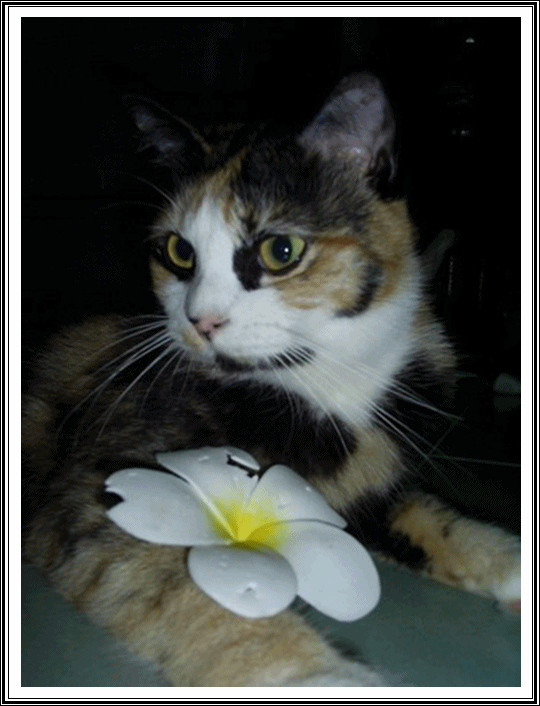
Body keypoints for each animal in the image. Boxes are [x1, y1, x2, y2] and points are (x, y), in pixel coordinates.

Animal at [22, 73, 520, 687]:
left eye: (281, 250)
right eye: (177, 251)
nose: (201, 321)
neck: (319, 385)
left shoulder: (369, 483)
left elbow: (434, 519)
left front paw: (512, 565)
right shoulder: (97, 492)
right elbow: (180, 590)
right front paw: (320, 677)